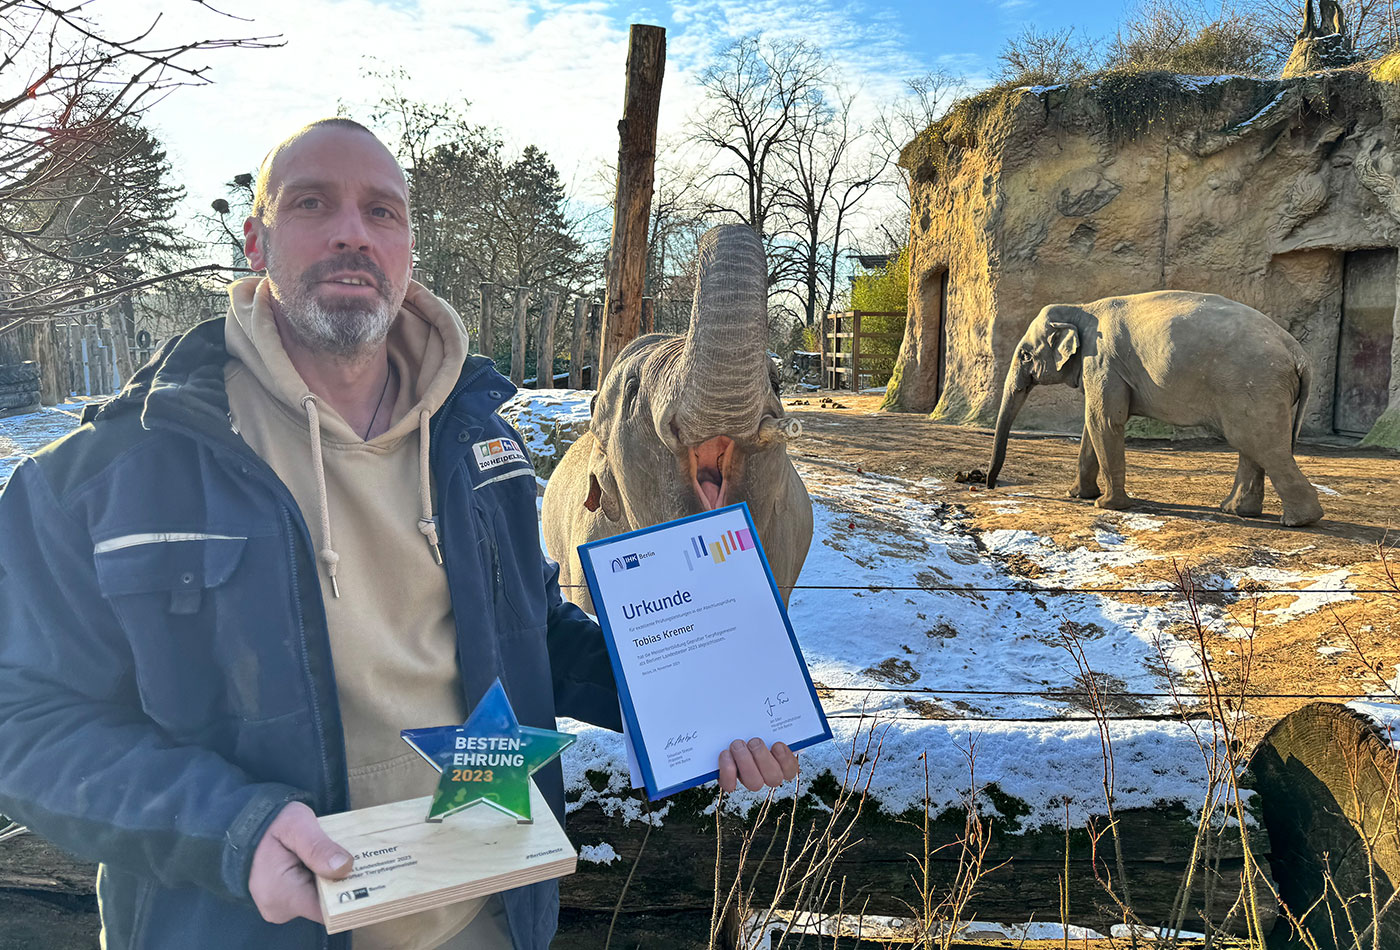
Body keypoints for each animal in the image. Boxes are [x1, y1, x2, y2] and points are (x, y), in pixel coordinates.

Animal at [985, 289, 1321, 528]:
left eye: (1025, 355)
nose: (988, 485)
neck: (1081, 306)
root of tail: (1299, 354)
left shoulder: (1103, 361)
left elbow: (1104, 421)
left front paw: (1105, 505)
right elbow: (1092, 425)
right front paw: (1078, 495)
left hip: (1255, 383)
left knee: (1260, 443)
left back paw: (1300, 521)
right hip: (1255, 389)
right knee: (1251, 444)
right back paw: (1237, 511)